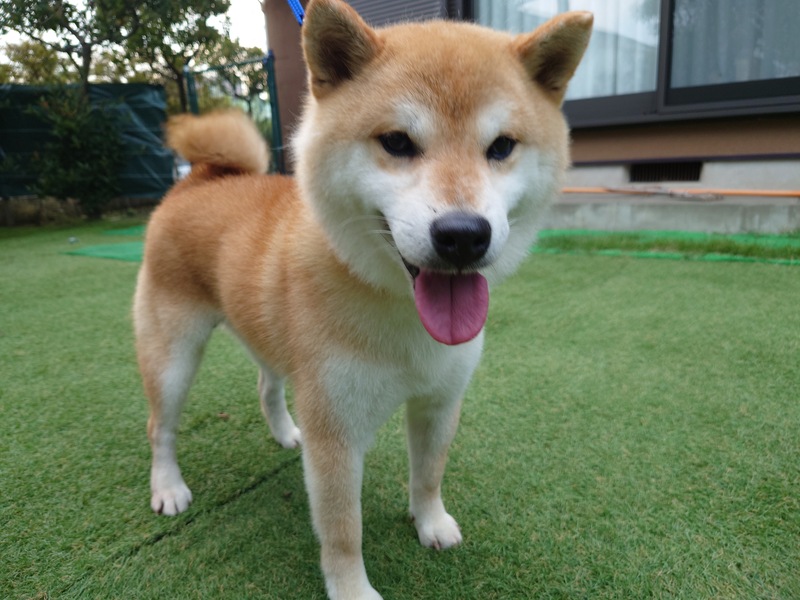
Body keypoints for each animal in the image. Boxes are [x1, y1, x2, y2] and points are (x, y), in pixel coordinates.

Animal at [133, 1, 591, 598]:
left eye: (501, 147)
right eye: (396, 142)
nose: (464, 235)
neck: (401, 314)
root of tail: (200, 179)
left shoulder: (440, 400)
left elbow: (429, 475)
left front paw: (430, 523)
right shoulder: (337, 431)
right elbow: (342, 529)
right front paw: (352, 589)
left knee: (266, 385)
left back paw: (286, 433)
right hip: (173, 354)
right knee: (160, 427)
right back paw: (168, 487)